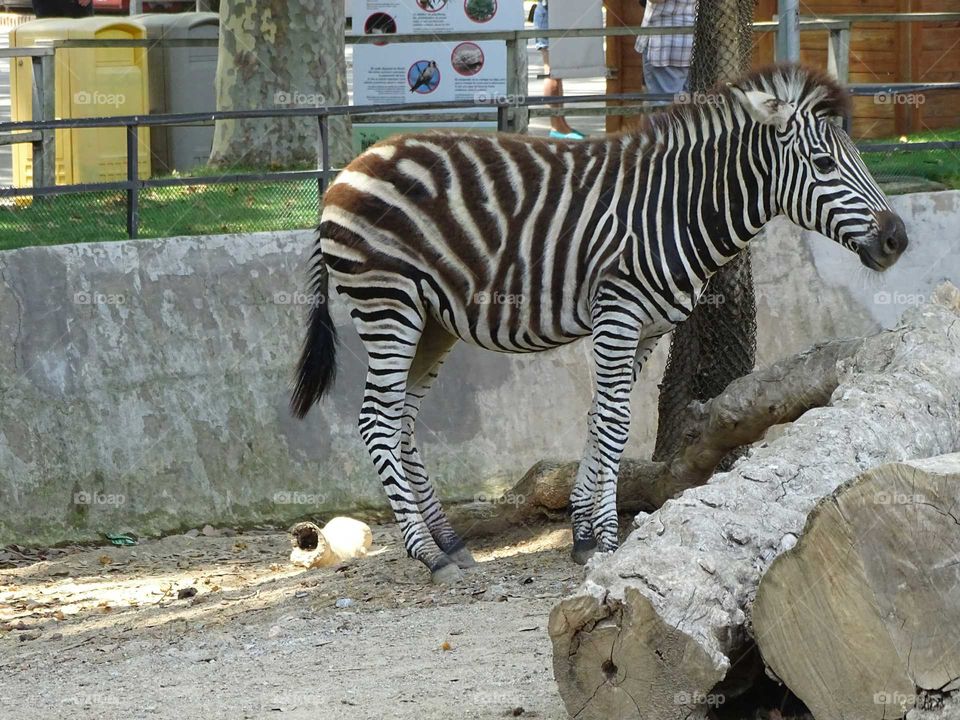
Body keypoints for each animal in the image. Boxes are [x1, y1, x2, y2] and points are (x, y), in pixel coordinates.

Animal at [291, 65, 908, 584]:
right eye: (824, 165)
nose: (898, 240)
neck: (678, 208)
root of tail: (348, 170)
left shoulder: (648, 330)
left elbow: (598, 420)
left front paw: (584, 535)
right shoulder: (619, 311)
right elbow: (613, 423)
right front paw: (608, 541)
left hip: (431, 322)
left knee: (401, 421)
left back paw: (448, 541)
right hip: (388, 304)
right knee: (375, 420)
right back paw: (427, 553)